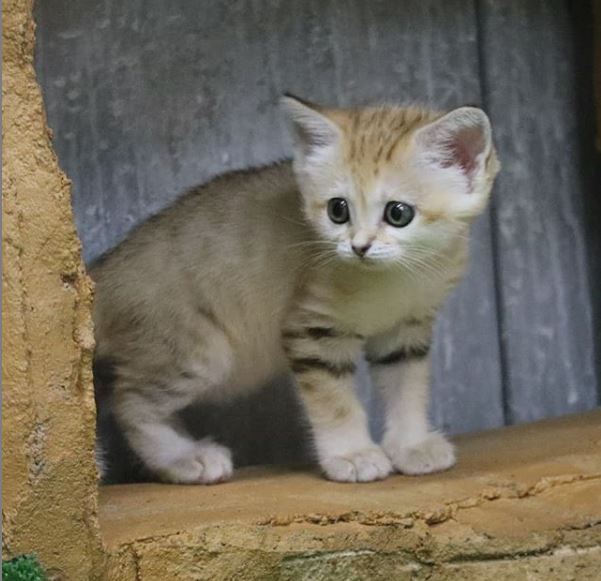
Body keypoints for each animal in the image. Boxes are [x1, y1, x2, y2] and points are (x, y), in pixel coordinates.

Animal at [91, 96, 500, 484]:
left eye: (398, 213)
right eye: (338, 210)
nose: (359, 246)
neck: (396, 277)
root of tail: (105, 270)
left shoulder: (404, 332)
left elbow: (407, 390)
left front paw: (411, 445)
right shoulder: (314, 329)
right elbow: (335, 402)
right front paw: (351, 454)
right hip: (198, 352)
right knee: (128, 401)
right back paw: (181, 458)